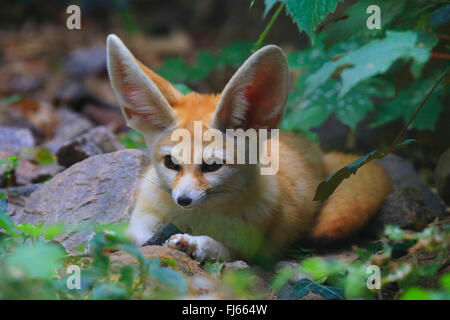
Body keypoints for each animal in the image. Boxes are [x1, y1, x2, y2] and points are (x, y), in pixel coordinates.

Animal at [105, 34, 390, 264]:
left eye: (212, 166)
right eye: (171, 163)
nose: (183, 200)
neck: (196, 218)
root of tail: (318, 152)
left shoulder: (249, 250)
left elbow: (216, 247)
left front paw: (194, 243)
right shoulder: (144, 216)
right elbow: (136, 235)